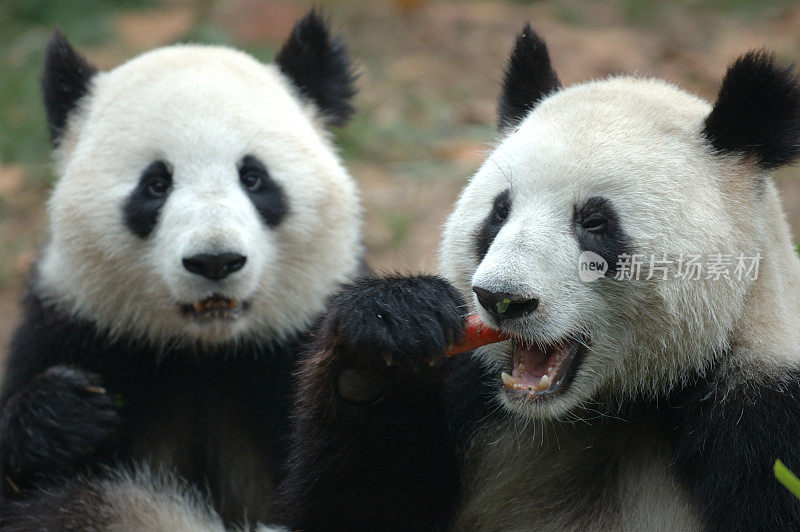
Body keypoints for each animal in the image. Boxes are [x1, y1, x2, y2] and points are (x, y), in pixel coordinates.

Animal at [0, 9, 360, 532]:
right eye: (155, 184)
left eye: (253, 178)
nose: (215, 261)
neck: (205, 350)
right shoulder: (74, 325)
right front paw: (62, 413)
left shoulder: (296, 335)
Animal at [278, 23, 800, 528]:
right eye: (499, 212)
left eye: (594, 222)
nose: (500, 299)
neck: (611, 410)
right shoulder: (476, 401)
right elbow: (361, 504)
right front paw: (385, 338)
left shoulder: (763, 419)